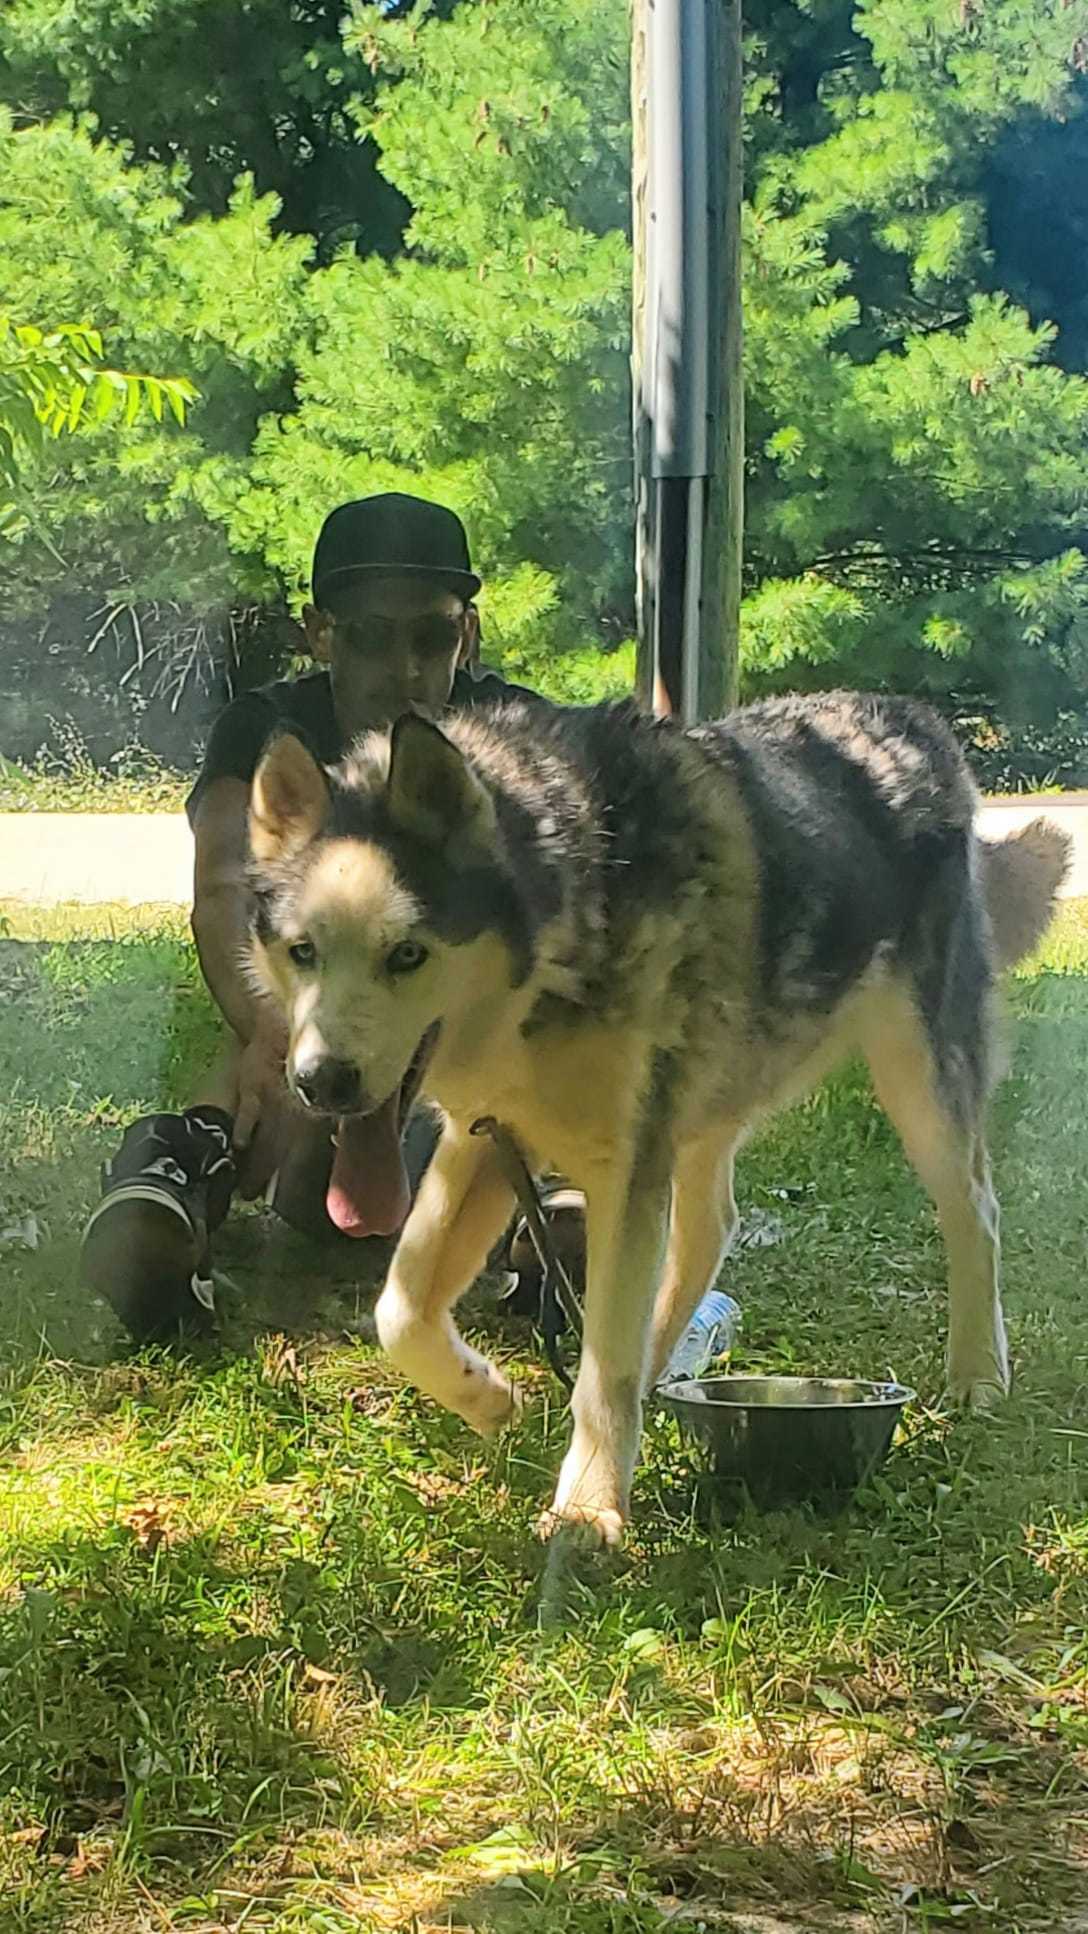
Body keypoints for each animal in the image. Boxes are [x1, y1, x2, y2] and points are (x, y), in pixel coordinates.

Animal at [249, 696, 1074, 1539]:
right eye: (304, 951)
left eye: (408, 954)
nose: (323, 1082)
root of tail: (913, 718)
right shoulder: (491, 1136)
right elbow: (402, 1307)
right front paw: (488, 1398)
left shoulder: (623, 1169)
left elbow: (601, 1363)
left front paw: (589, 1506)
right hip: (707, 1099)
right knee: (711, 1225)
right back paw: (660, 1362)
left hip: (916, 1086)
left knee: (975, 1211)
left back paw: (978, 1372)